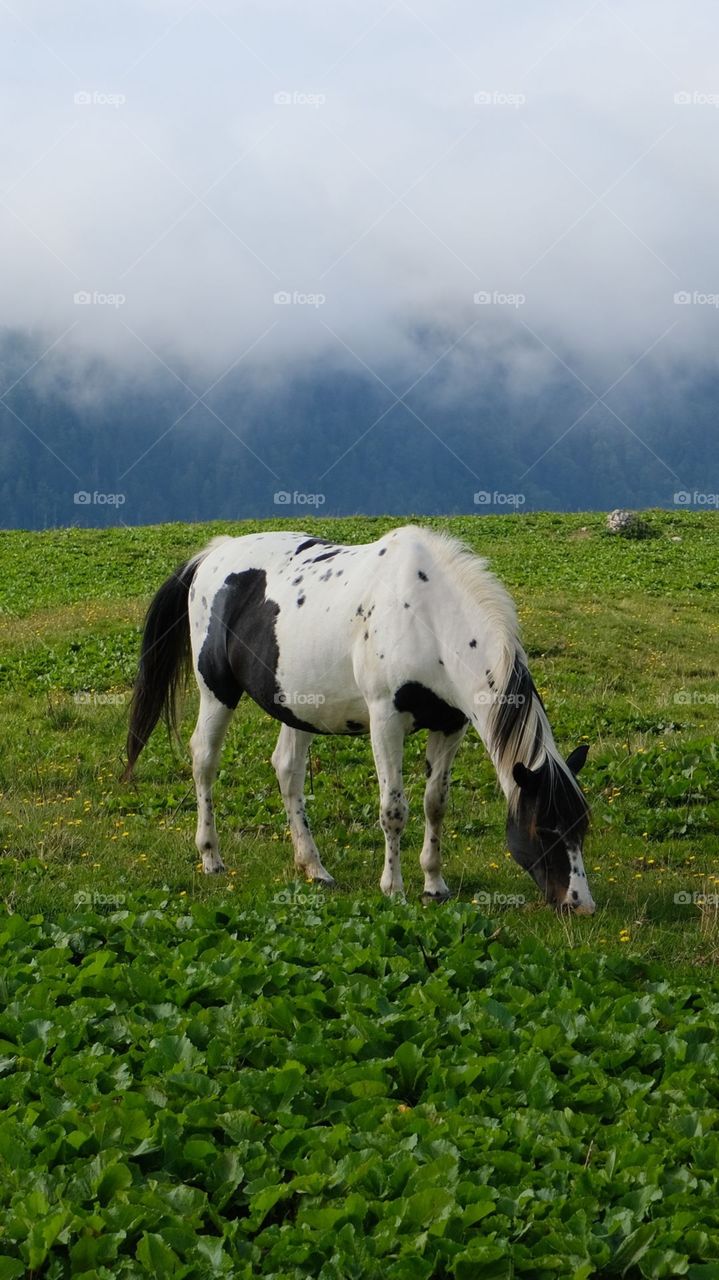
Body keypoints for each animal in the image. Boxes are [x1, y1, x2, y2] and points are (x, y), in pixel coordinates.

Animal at [124, 526, 595, 913]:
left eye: (582, 827)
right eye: (545, 828)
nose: (580, 904)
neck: (429, 617)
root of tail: (214, 554)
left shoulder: (450, 725)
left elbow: (435, 804)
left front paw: (434, 884)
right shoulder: (386, 719)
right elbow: (394, 809)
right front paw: (394, 888)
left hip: (298, 707)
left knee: (287, 771)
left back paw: (314, 867)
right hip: (216, 692)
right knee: (204, 761)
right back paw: (211, 857)